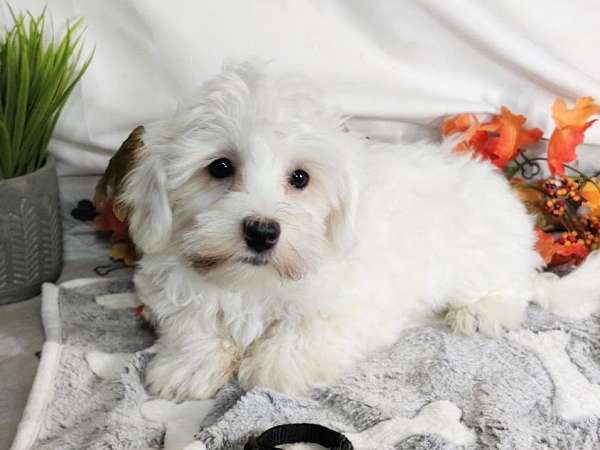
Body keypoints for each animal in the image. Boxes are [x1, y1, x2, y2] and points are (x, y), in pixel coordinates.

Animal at [119, 60, 600, 400]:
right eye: (220, 168)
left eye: (300, 178)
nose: (261, 231)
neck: (255, 282)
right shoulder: (171, 278)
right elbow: (191, 322)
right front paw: (187, 366)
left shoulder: (357, 306)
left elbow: (308, 334)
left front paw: (273, 366)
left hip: (481, 254)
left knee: (513, 287)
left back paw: (482, 311)